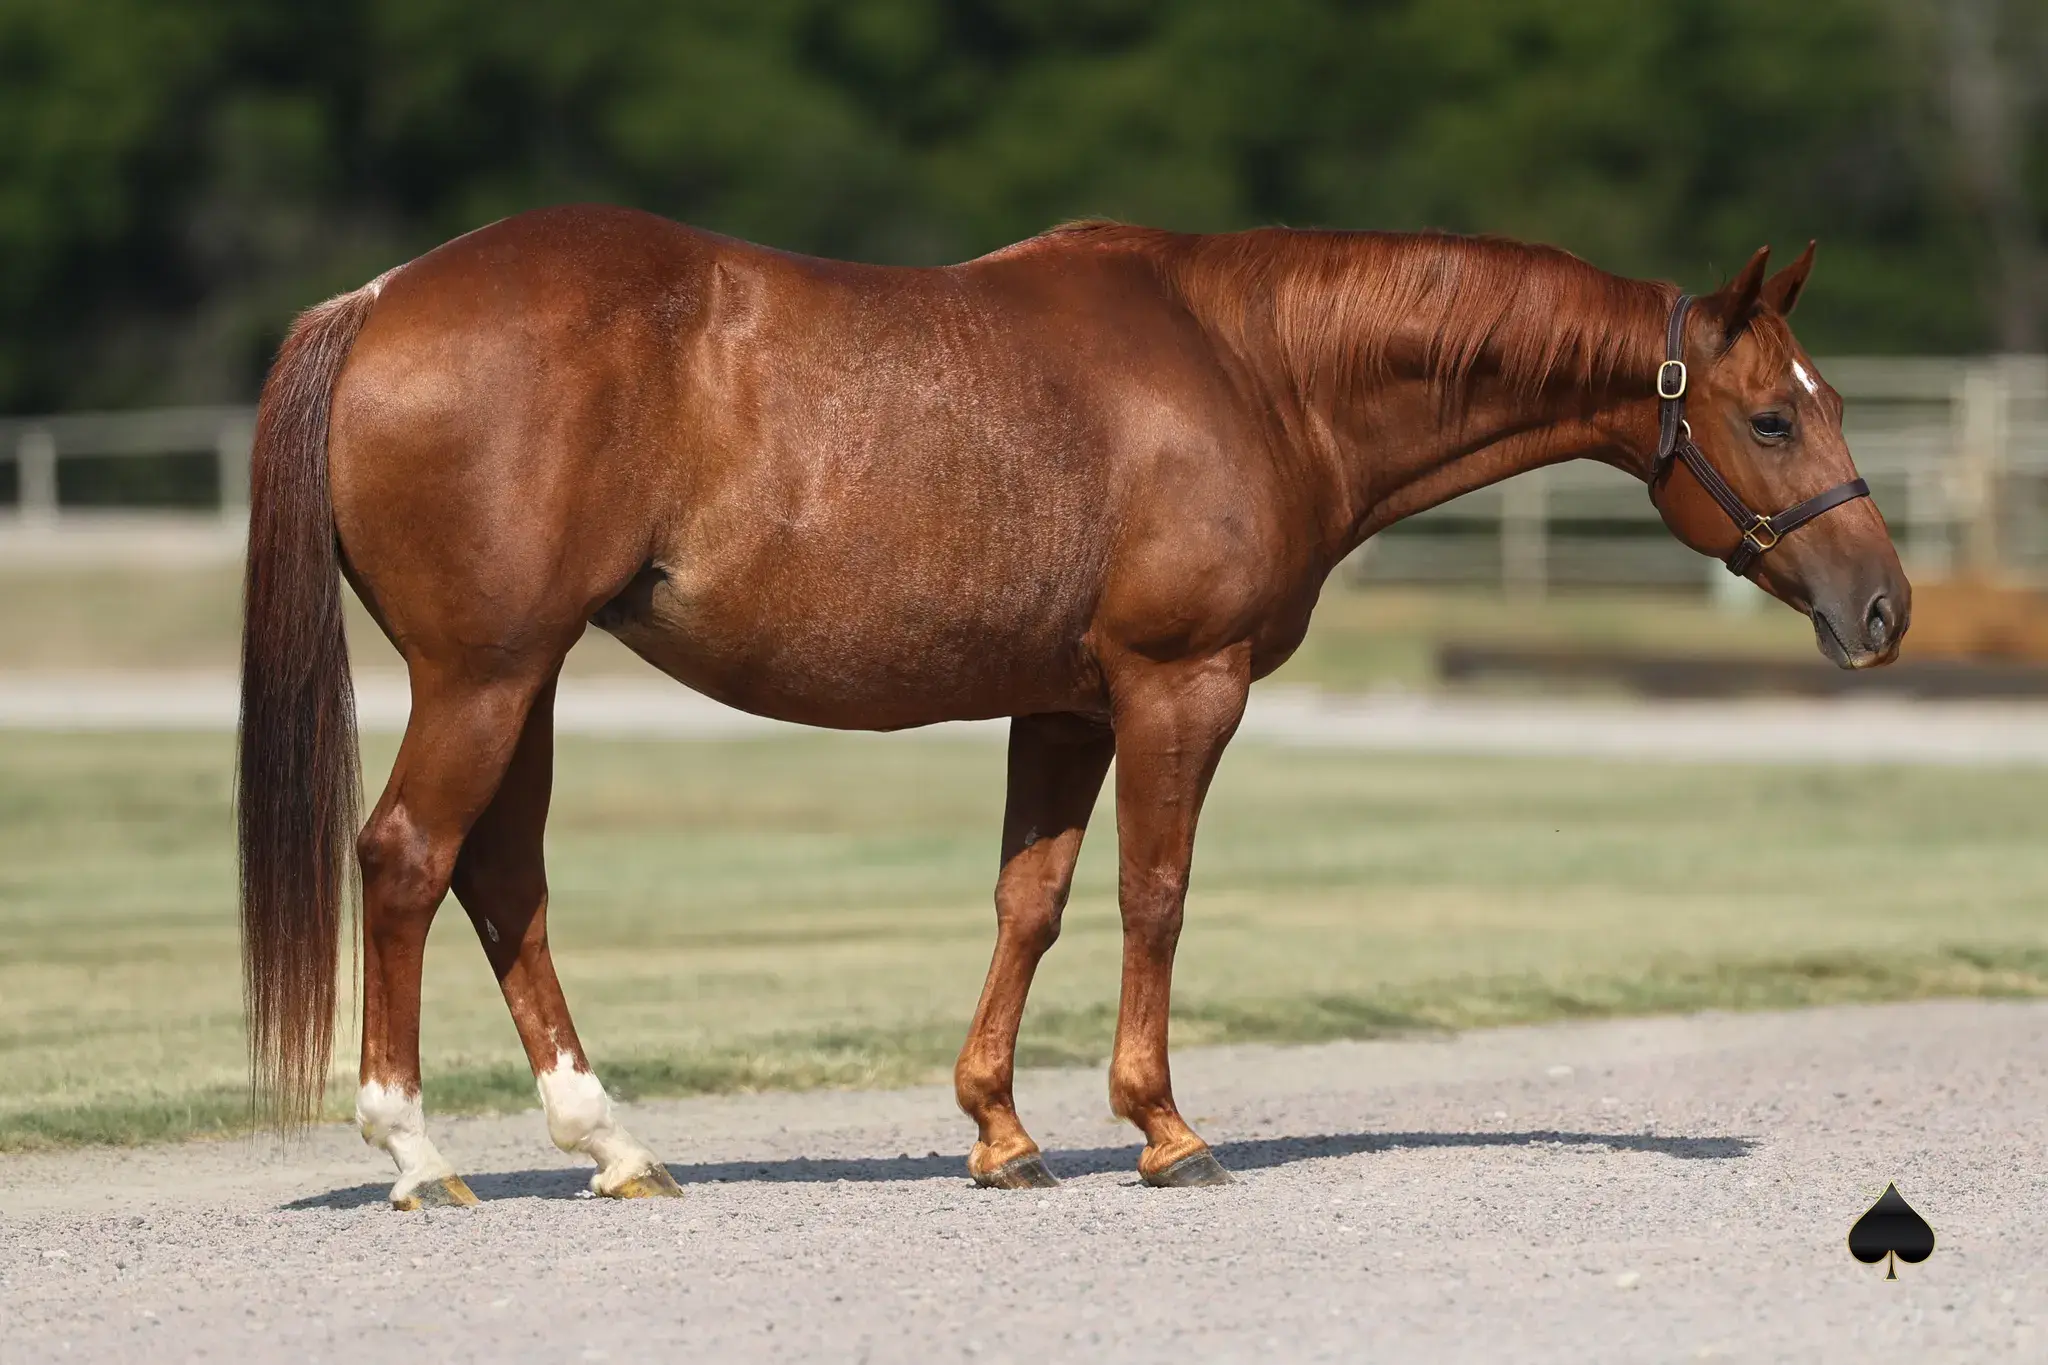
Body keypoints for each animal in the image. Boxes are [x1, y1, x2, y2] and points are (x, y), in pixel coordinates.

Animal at [238, 206, 1907, 1208]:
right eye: (1773, 416)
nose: (1884, 608)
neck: (1256, 369)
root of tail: (380, 299)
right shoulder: (1178, 684)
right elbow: (1153, 894)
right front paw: (1164, 1128)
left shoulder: (1066, 709)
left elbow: (1027, 902)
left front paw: (1001, 1130)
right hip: (487, 674)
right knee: (408, 859)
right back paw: (413, 1149)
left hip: (525, 679)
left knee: (502, 880)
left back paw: (614, 1144)